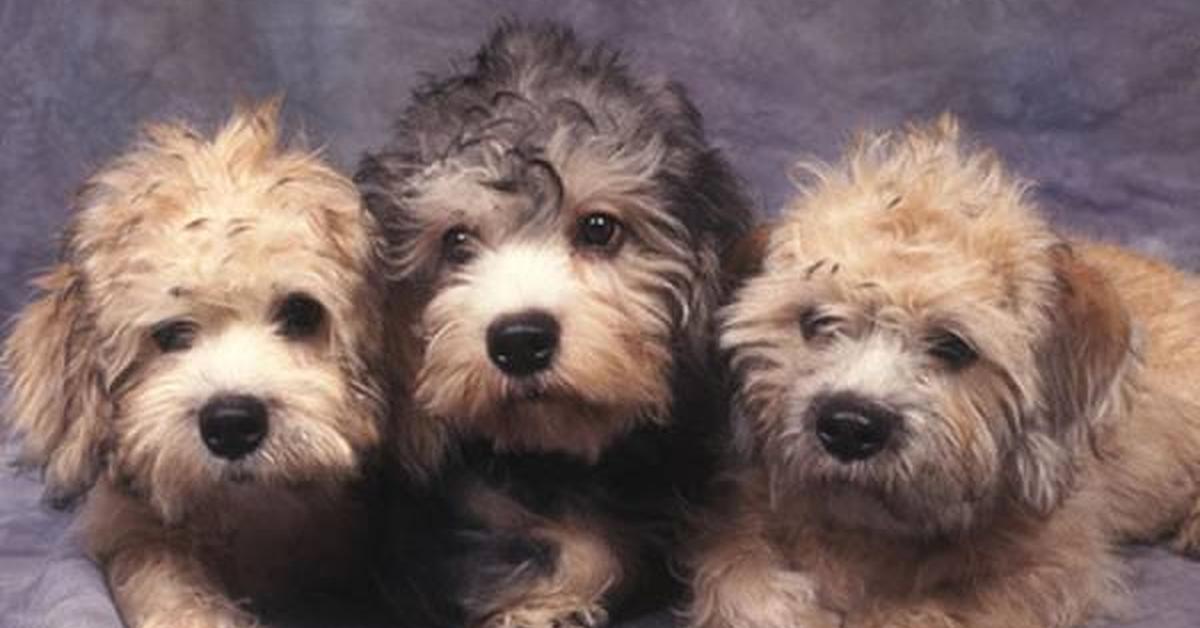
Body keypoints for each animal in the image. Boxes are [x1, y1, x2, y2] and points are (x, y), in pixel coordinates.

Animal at [2, 103, 386, 628]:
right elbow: (161, 576)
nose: (232, 424)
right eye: (170, 334)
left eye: (301, 313)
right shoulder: (131, 532)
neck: (249, 513)